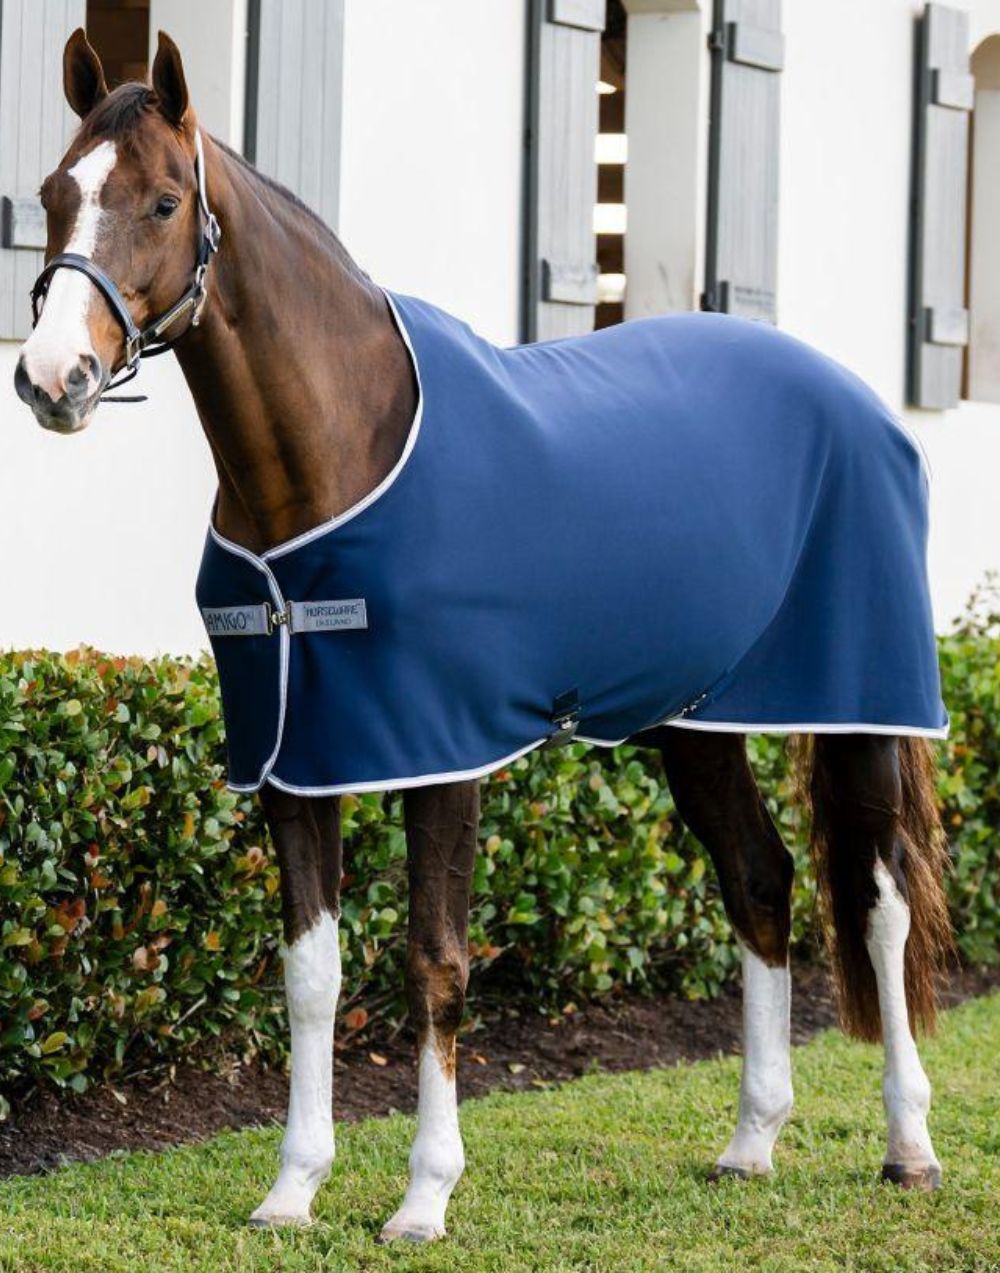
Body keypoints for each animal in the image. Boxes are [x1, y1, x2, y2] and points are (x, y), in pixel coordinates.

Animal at [13, 29, 954, 1242]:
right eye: (51, 194)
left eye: (166, 200)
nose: (53, 378)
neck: (338, 451)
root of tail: (860, 400)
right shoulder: (295, 760)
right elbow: (310, 975)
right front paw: (293, 1187)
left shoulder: (440, 752)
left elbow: (436, 962)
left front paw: (423, 1195)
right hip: (698, 724)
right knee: (760, 879)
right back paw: (750, 1141)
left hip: (862, 706)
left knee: (882, 904)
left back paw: (908, 1145)